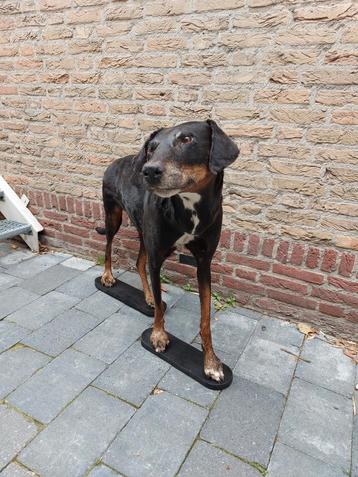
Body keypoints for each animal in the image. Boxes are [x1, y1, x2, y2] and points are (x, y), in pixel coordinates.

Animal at [96, 121, 239, 382]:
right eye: (151, 147)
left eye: (187, 139)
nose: (149, 171)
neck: (188, 205)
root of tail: (115, 161)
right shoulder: (157, 257)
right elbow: (160, 305)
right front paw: (159, 336)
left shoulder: (204, 263)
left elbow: (205, 318)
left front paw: (211, 361)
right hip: (113, 216)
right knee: (109, 247)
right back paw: (108, 276)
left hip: (143, 230)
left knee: (139, 262)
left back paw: (149, 298)